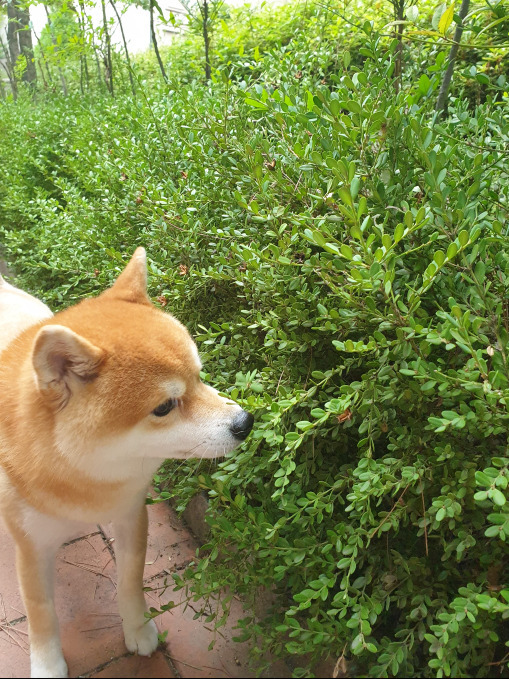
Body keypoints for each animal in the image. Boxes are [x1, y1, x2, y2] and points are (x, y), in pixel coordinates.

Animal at [0, 247, 253, 678]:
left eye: (200, 377)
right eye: (165, 407)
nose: (245, 422)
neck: (81, 478)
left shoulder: (132, 513)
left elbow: (131, 580)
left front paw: (137, 627)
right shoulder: (31, 547)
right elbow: (41, 614)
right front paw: (48, 665)